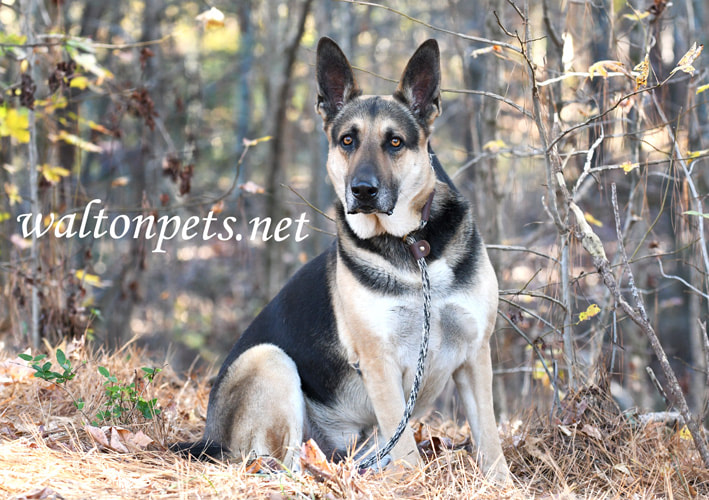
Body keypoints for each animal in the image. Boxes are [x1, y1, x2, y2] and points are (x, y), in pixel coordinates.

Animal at [175, 38, 512, 480]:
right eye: (347, 141)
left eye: (395, 142)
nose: (362, 190)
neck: (412, 247)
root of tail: (209, 435)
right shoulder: (379, 362)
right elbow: (406, 448)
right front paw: (413, 484)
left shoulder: (474, 354)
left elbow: (488, 438)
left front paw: (502, 484)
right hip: (268, 359)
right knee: (278, 462)